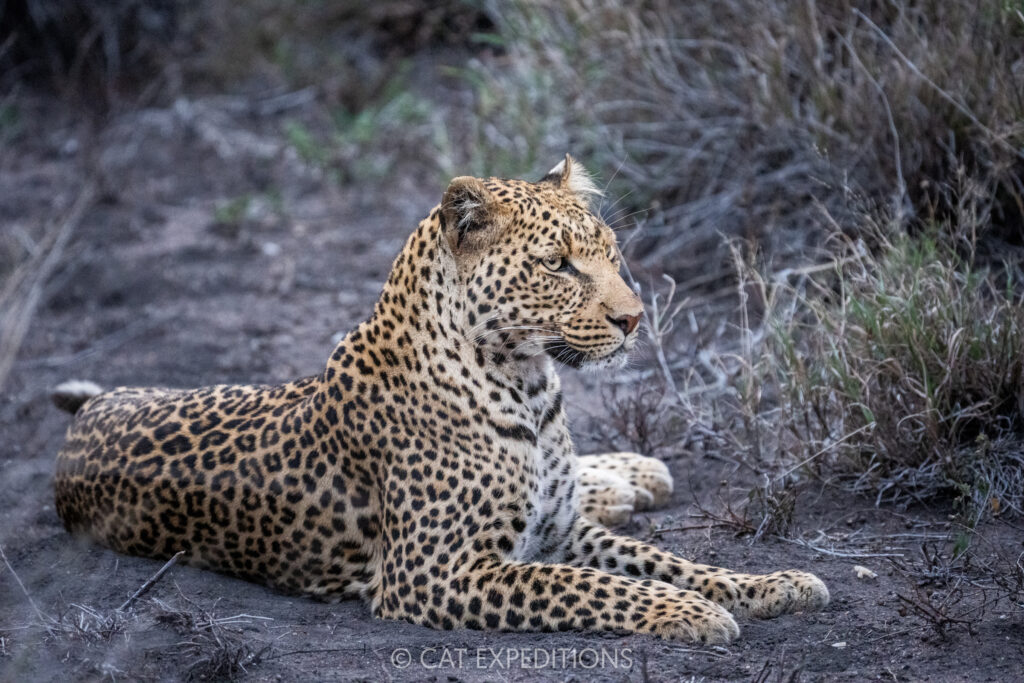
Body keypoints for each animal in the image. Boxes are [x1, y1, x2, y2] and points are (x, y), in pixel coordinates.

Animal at [51, 156, 829, 643]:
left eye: (609, 252)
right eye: (558, 265)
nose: (633, 319)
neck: (530, 389)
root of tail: (83, 424)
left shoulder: (562, 529)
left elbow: (666, 561)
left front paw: (775, 584)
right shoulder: (436, 574)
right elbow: (581, 584)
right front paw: (689, 612)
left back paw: (635, 474)